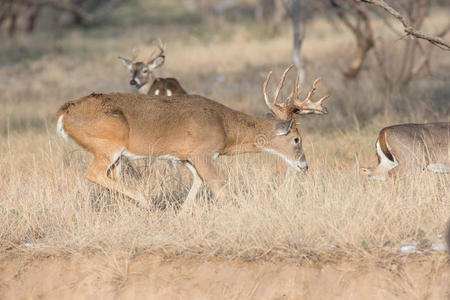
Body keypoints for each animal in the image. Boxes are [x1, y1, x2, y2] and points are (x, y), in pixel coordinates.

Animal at [56, 64, 328, 207]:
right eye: (297, 139)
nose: (305, 166)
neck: (225, 128)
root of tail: (63, 112)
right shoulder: (202, 152)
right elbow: (218, 185)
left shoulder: (186, 157)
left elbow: (197, 184)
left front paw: (181, 214)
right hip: (108, 142)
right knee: (93, 173)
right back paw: (145, 200)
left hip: (115, 154)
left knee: (109, 176)